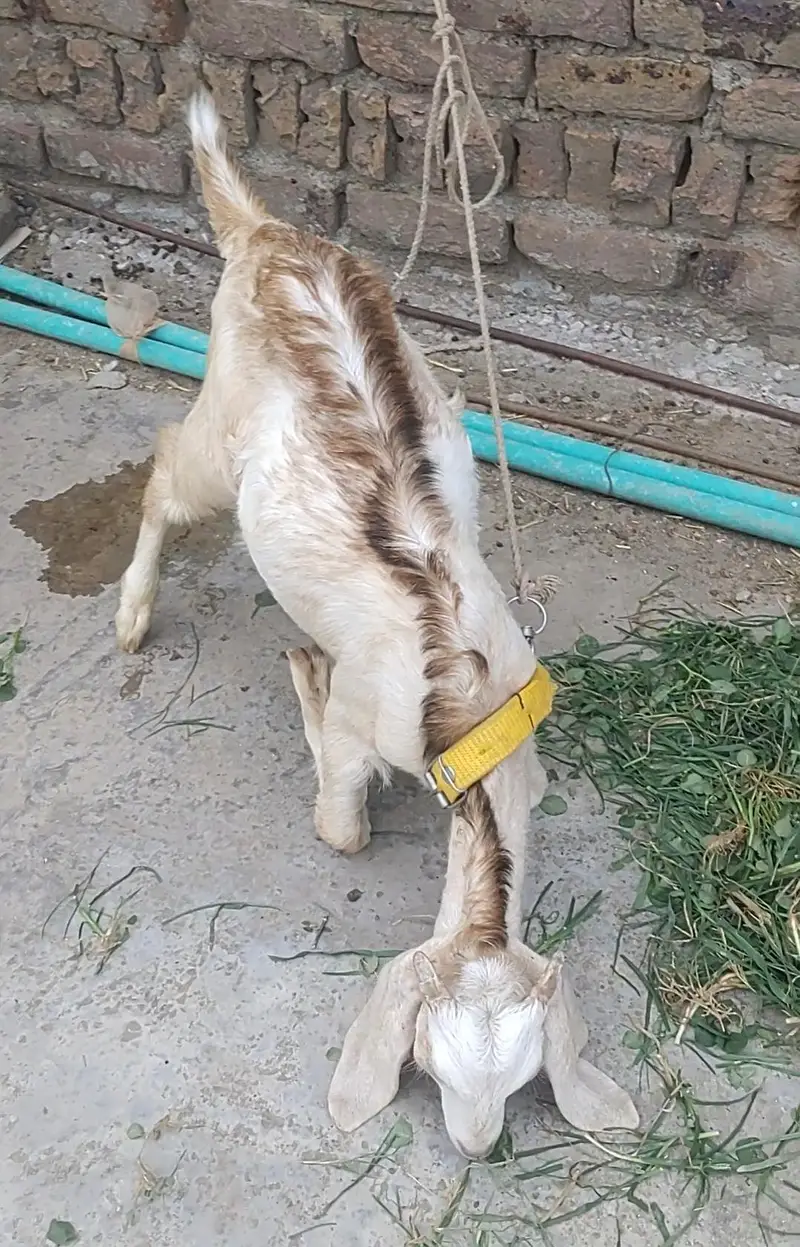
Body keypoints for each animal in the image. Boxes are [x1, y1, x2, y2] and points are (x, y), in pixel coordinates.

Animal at [116, 92, 637, 1155]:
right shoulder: (367, 725)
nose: (476, 1147)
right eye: (428, 1065)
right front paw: (306, 683)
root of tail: (265, 235)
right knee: (164, 466)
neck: (469, 709)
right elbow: (342, 825)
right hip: (217, 437)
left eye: (524, 1078)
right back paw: (134, 610)